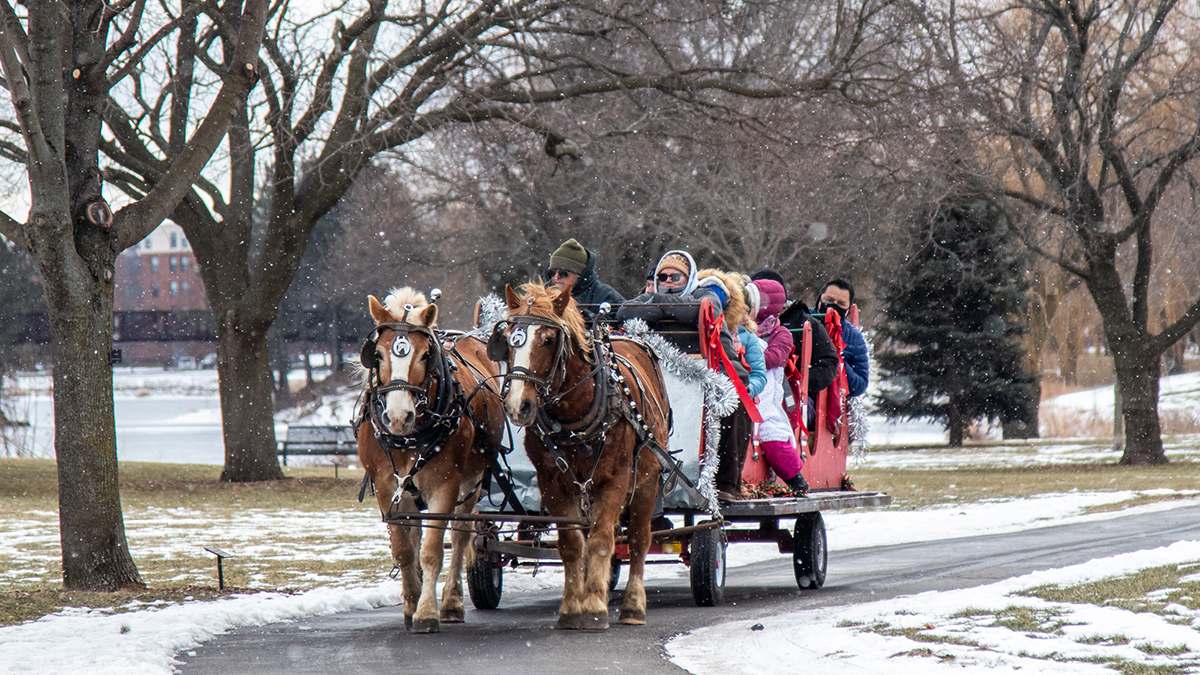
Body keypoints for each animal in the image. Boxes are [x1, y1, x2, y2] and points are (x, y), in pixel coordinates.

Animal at [355, 288, 506, 629]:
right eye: (378, 355)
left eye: (425, 355)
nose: (398, 417)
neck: (410, 437)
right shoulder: (388, 488)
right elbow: (404, 550)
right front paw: (411, 603)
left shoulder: (445, 485)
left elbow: (433, 550)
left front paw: (426, 611)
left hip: (471, 483)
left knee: (461, 538)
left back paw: (451, 602)